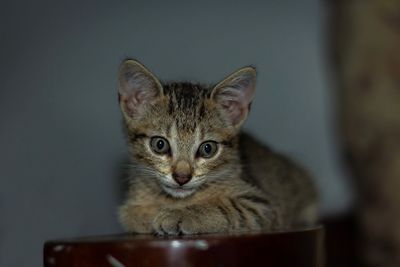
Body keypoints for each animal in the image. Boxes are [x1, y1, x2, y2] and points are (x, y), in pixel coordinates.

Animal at [116, 59, 318, 236]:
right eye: (160, 144)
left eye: (208, 149)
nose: (182, 177)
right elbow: (129, 214)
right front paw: (149, 214)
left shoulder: (263, 206)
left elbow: (226, 208)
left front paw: (181, 213)